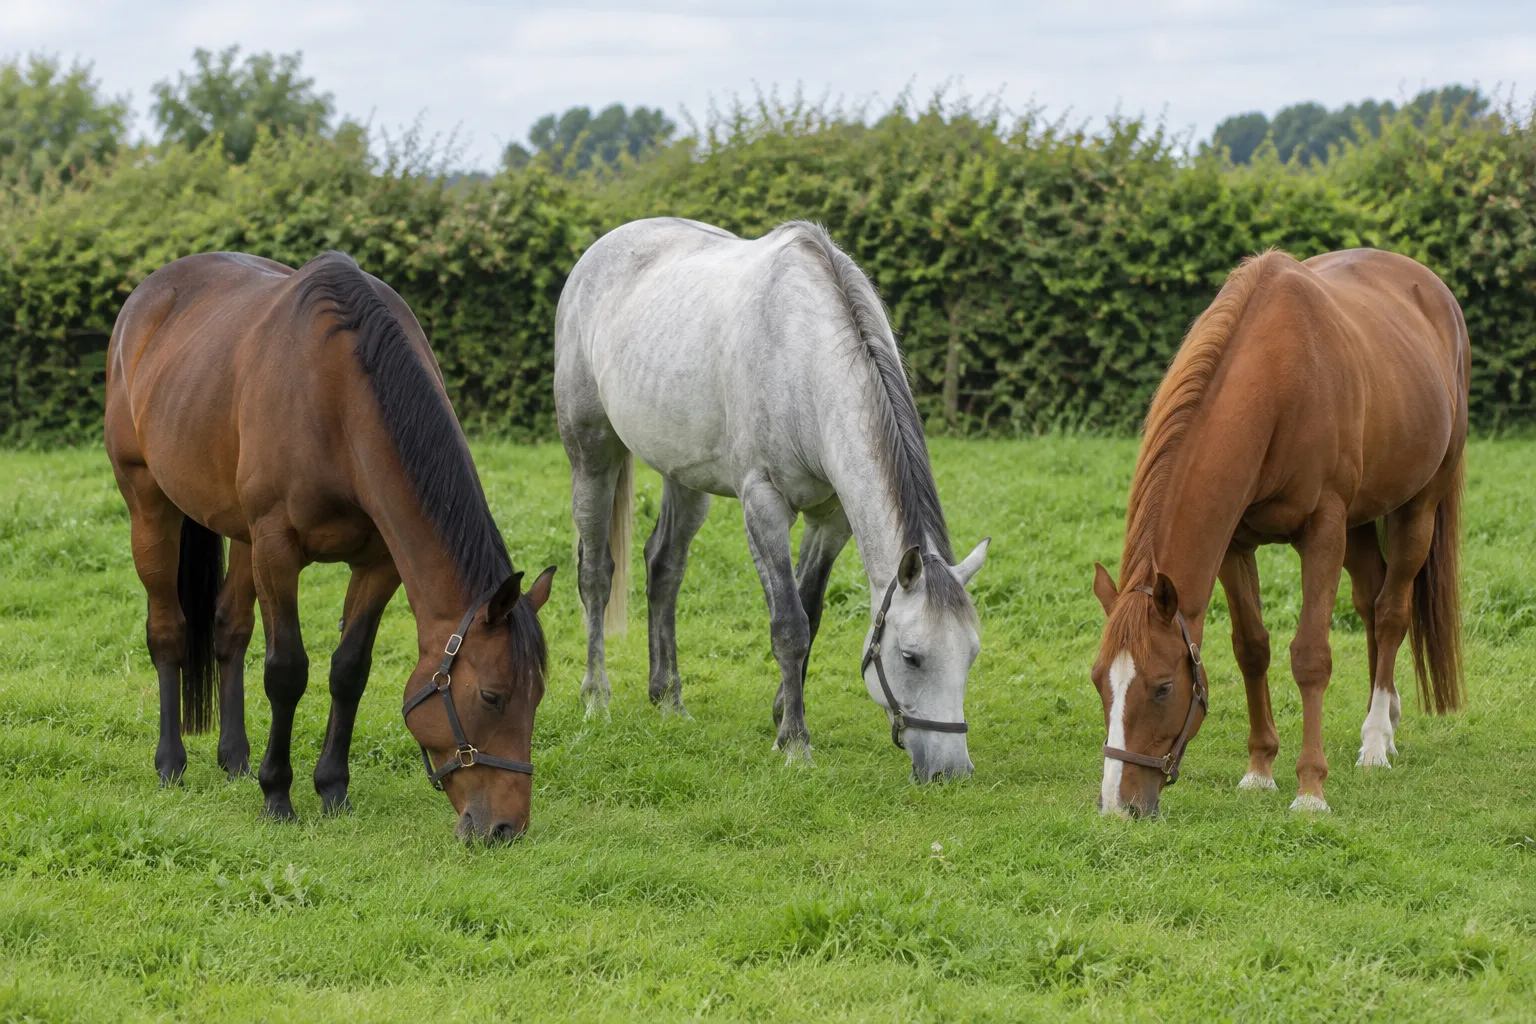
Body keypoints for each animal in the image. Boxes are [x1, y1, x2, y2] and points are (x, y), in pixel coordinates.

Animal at [104, 250, 556, 841]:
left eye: (537, 696)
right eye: (491, 696)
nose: (505, 828)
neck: (339, 396)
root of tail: (149, 294)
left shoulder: (378, 562)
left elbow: (349, 671)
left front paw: (332, 789)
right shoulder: (278, 549)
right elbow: (286, 671)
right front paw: (276, 795)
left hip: (242, 534)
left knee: (229, 629)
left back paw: (234, 757)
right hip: (149, 504)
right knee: (168, 633)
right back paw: (171, 763)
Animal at [554, 218, 989, 782]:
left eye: (971, 655)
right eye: (912, 657)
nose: (951, 772)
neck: (803, 357)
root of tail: (598, 252)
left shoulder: (831, 519)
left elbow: (811, 613)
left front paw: (784, 712)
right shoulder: (763, 505)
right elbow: (789, 625)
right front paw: (796, 743)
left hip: (684, 474)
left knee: (664, 567)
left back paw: (668, 698)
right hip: (591, 453)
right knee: (596, 574)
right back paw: (596, 697)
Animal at [1090, 247, 1468, 817]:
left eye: (1162, 688)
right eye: (1099, 683)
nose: (1118, 805)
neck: (1279, 379)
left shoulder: (1324, 531)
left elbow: (1310, 656)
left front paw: (1310, 789)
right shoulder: (1235, 544)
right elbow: (1252, 648)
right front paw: (1260, 769)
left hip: (1417, 509)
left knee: (1390, 612)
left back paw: (1376, 740)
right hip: (1361, 523)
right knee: (1370, 600)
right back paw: (1385, 716)